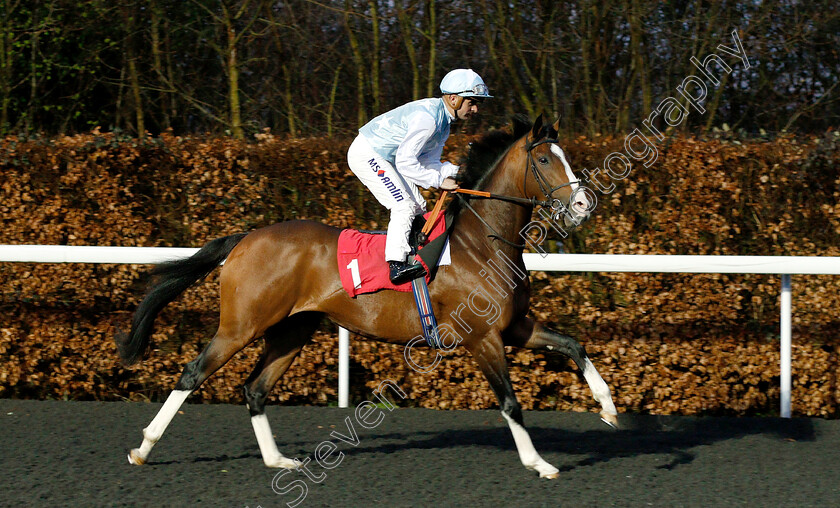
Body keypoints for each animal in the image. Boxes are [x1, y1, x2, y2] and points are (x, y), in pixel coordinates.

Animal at [118, 113, 616, 478]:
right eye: (546, 160)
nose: (583, 205)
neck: (482, 243)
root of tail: (247, 237)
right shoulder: (482, 338)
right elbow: (510, 402)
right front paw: (539, 462)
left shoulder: (514, 328)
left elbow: (574, 345)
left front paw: (609, 410)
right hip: (241, 325)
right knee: (192, 373)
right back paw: (143, 448)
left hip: (293, 329)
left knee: (255, 389)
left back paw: (278, 460)